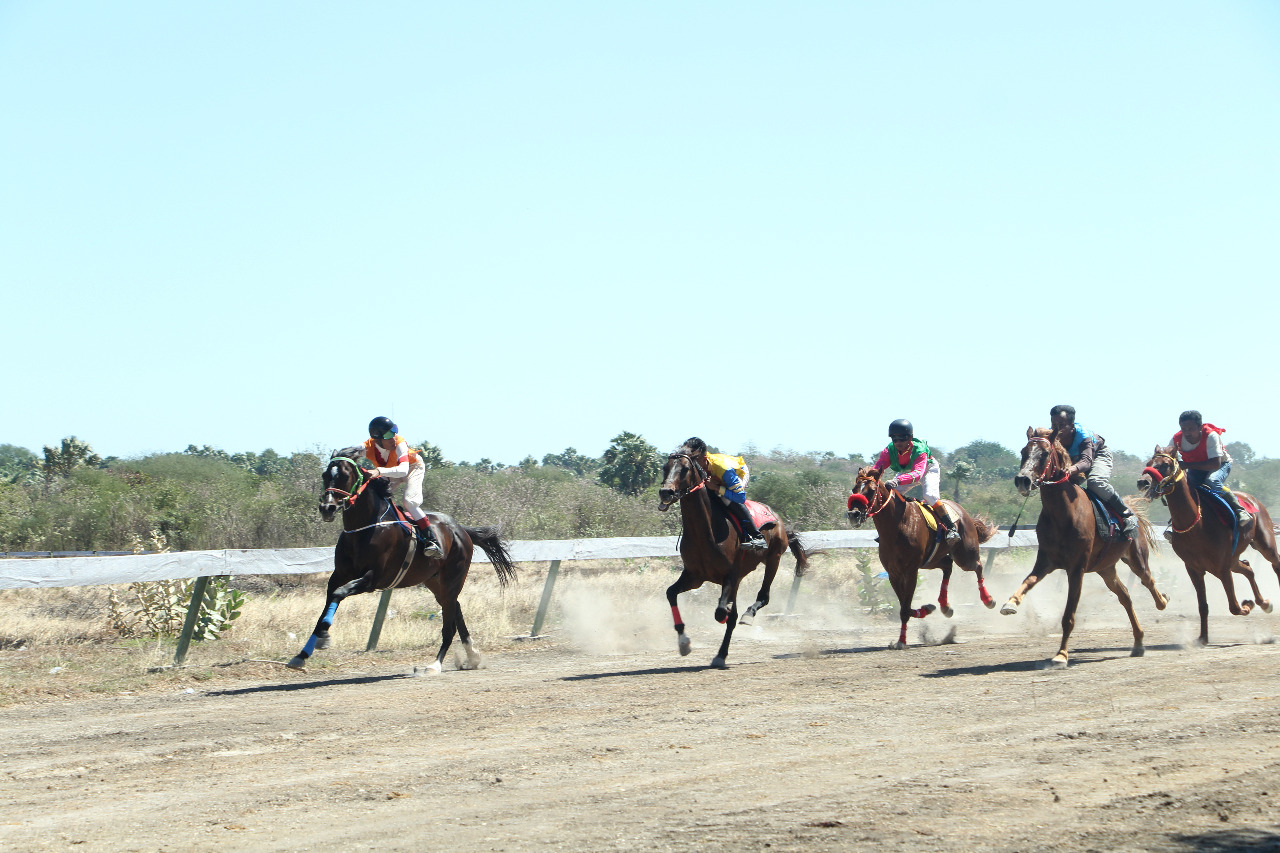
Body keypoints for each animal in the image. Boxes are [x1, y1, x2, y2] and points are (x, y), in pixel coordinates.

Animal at [288, 448, 517, 676]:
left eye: (344, 476)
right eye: (325, 475)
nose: (327, 507)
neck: (364, 529)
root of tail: (461, 530)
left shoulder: (374, 578)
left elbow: (339, 593)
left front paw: (323, 638)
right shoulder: (339, 575)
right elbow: (329, 601)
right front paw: (302, 654)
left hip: (453, 579)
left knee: (449, 624)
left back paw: (435, 665)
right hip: (435, 582)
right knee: (455, 610)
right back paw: (473, 656)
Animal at [660, 440, 808, 666]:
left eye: (685, 469)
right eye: (664, 468)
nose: (665, 492)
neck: (706, 532)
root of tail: (778, 519)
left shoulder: (730, 575)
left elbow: (722, 612)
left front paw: (727, 614)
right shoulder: (694, 576)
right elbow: (670, 593)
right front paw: (684, 642)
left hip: (773, 558)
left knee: (763, 597)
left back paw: (742, 624)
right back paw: (721, 651)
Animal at [849, 466, 998, 645]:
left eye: (871, 491)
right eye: (854, 489)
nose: (853, 514)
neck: (898, 525)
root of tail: (962, 511)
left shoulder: (911, 571)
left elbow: (905, 608)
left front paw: (902, 641)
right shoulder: (894, 573)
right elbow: (904, 607)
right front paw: (926, 609)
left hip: (964, 555)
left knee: (977, 566)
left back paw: (988, 599)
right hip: (931, 560)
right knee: (948, 565)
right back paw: (945, 606)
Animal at [1003, 425, 1172, 666]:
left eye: (1044, 454)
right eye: (1023, 452)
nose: (1022, 480)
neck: (1062, 514)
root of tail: (1132, 510)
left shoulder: (1077, 568)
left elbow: (1069, 616)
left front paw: (1061, 655)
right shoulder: (1045, 561)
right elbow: (1027, 581)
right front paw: (1010, 604)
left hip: (1137, 558)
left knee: (1148, 581)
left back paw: (1162, 602)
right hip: (1106, 568)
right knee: (1125, 596)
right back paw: (1138, 642)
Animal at [1136, 440, 1274, 640]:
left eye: (1165, 464)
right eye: (1149, 462)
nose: (1143, 482)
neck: (1197, 525)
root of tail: (1252, 499)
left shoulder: (1222, 568)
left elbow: (1234, 606)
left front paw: (1247, 605)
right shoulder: (1194, 568)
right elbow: (1203, 606)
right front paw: (1203, 637)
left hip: (1265, 545)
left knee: (1274, 563)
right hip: (1233, 560)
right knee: (1248, 568)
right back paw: (1264, 602)